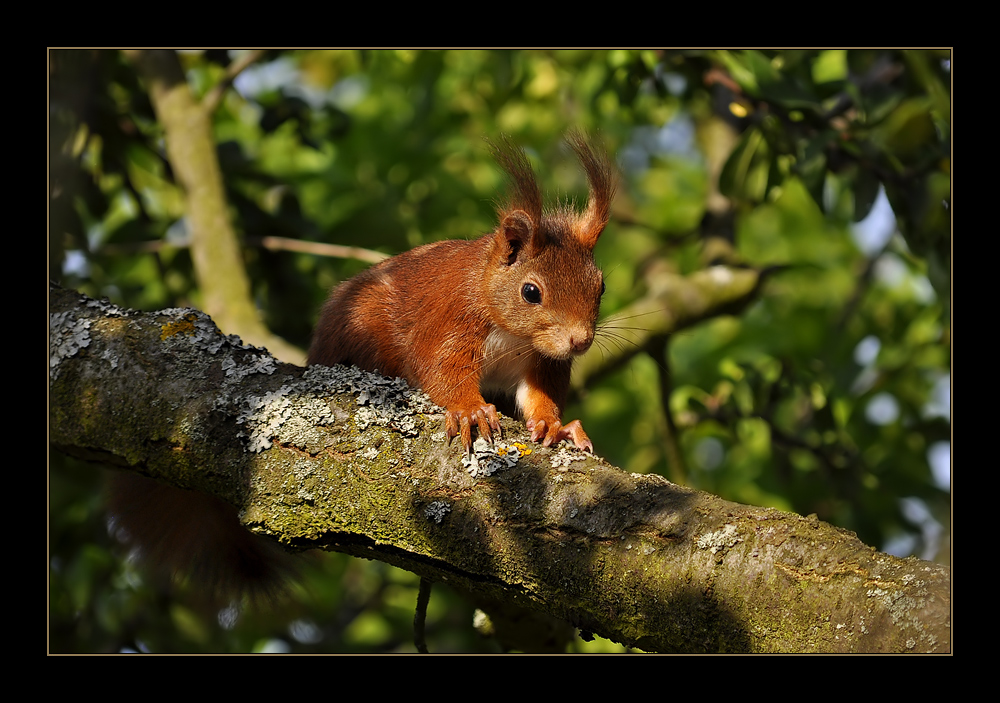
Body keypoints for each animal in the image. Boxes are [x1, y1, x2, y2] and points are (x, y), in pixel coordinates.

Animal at [308, 133, 616, 454]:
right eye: (531, 292)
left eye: (601, 286)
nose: (580, 342)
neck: (515, 336)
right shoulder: (451, 319)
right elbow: (441, 369)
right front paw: (471, 410)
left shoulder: (544, 360)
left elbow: (541, 393)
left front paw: (552, 423)